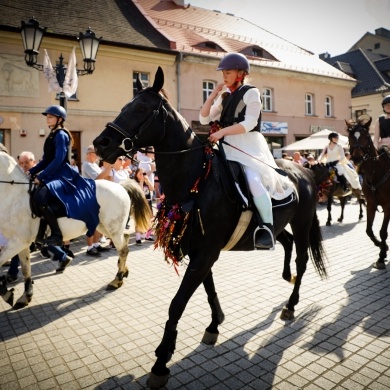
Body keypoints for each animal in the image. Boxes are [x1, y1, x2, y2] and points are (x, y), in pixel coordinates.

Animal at [0, 145, 152, 310]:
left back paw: (117, 279)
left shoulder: (17, 242)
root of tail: (121, 186)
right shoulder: (21, 243)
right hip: (105, 227)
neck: (13, 195)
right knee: (125, 240)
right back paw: (123, 271)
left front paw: (7, 293)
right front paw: (24, 297)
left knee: (123, 249)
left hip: (112, 228)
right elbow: (26, 268)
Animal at [93, 68, 328, 390]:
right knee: (285, 242)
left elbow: (177, 304)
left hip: (303, 222)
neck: (196, 181)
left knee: (302, 259)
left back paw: (291, 304)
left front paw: (161, 361)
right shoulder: (200, 252)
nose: (101, 143)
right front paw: (215, 324)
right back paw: (284, 274)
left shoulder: (205, 253)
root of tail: (304, 169)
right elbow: (208, 288)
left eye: (140, 108)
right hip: (280, 224)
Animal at [346, 116, 388, 268]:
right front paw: (382, 247)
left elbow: (383, 232)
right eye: (350, 137)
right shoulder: (371, 204)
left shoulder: (388, 206)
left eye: (366, 136)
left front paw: (382, 255)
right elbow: (369, 230)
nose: (357, 158)